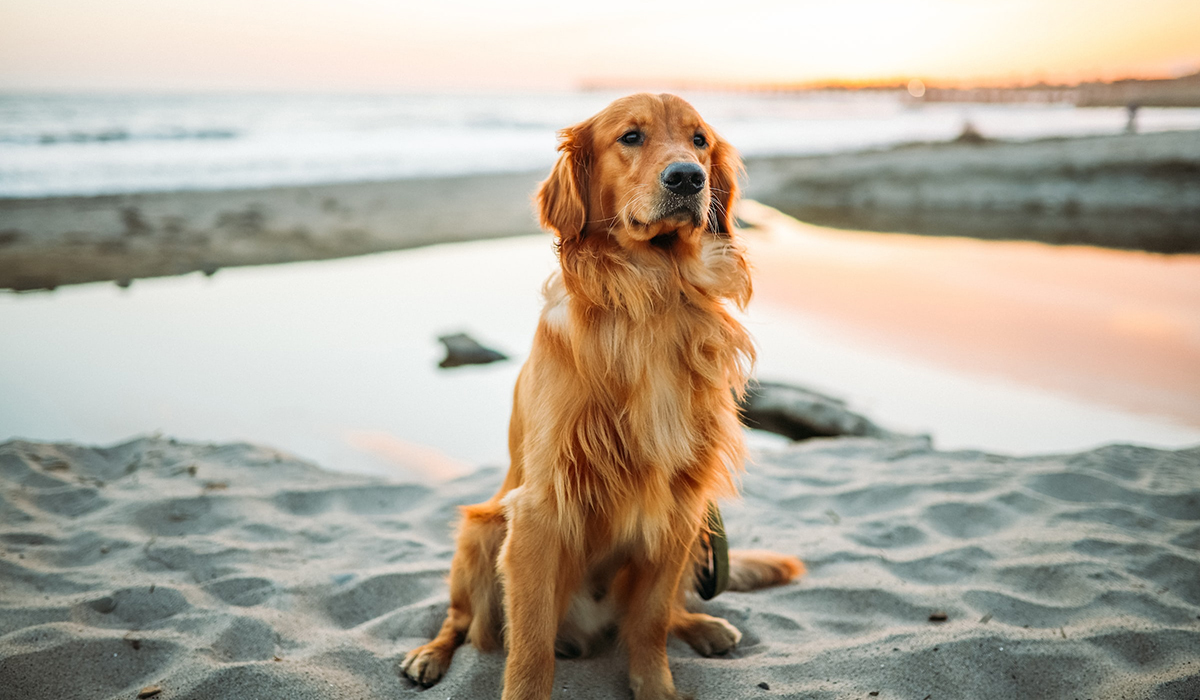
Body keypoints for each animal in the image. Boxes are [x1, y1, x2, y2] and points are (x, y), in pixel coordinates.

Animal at [403, 93, 806, 700]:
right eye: (630, 137)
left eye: (700, 141)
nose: (688, 177)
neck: (653, 294)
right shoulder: (540, 509)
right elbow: (529, 647)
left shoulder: (681, 504)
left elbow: (651, 622)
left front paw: (657, 687)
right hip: (480, 532)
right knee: (460, 621)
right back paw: (429, 655)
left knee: (664, 612)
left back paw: (703, 625)